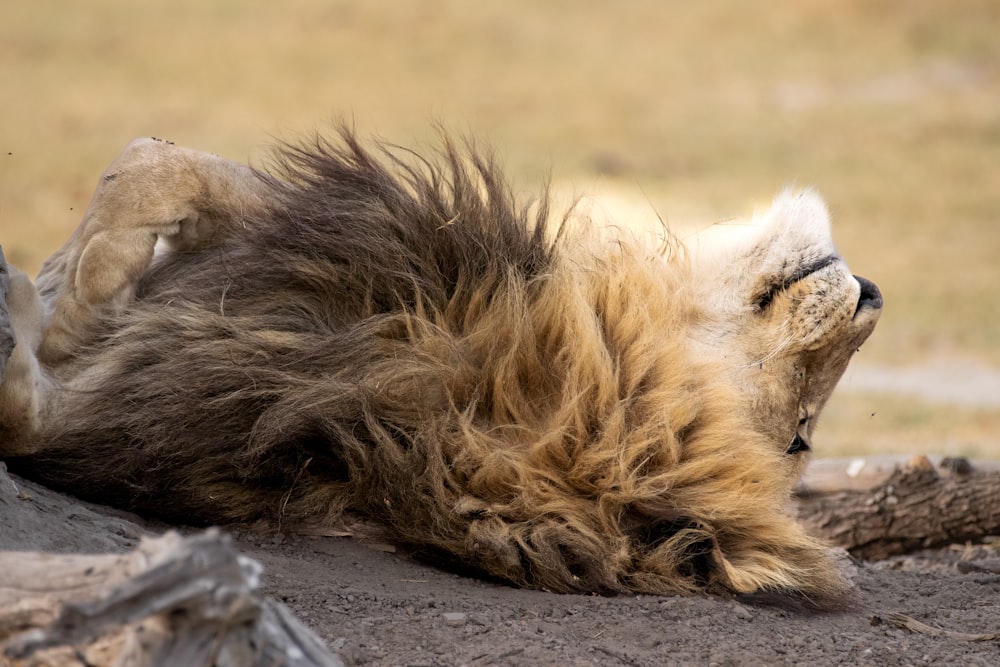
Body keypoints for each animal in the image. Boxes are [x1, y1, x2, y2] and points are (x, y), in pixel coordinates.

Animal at [0, 129, 884, 604]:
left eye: (798, 434)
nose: (872, 298)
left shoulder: (155, 414)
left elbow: (43, 403)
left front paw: (61, 309)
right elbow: (161, 164)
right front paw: (67, 280)